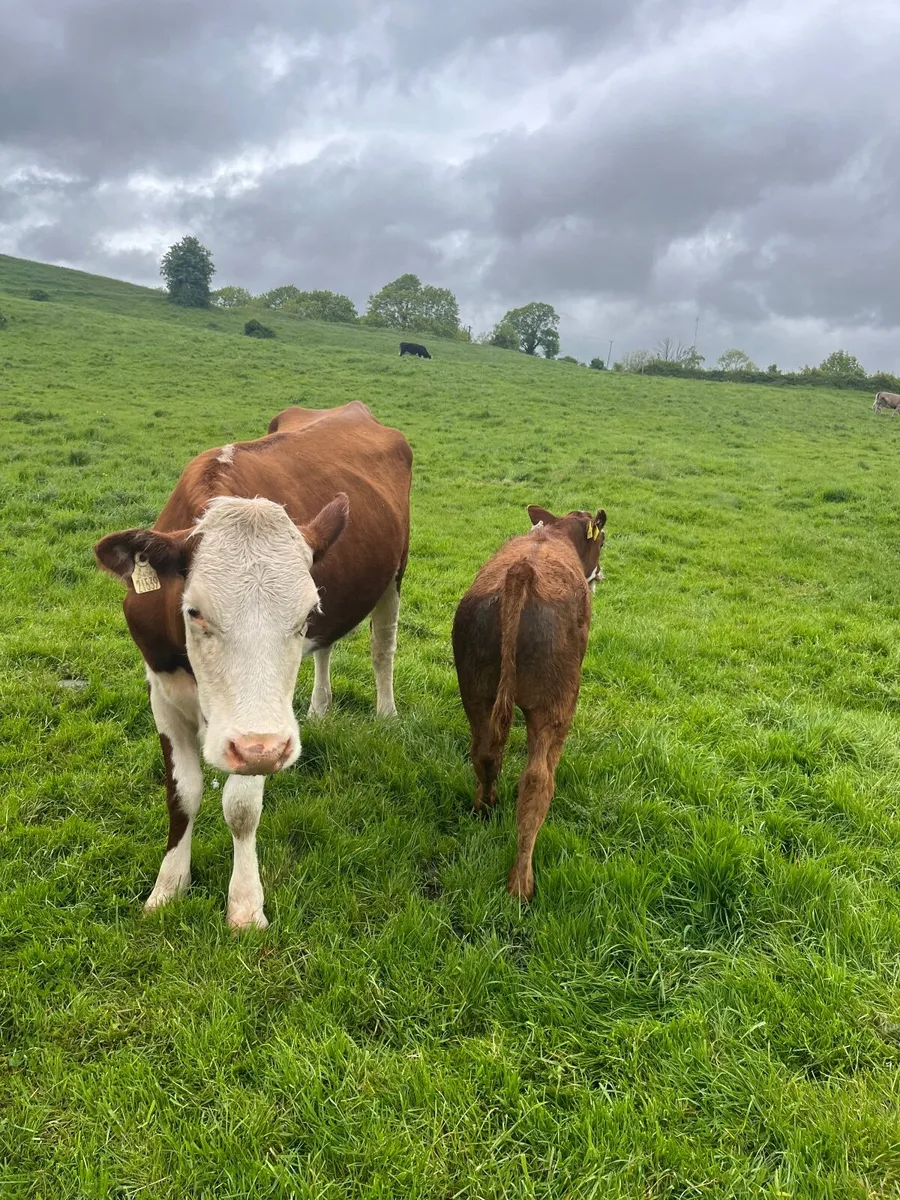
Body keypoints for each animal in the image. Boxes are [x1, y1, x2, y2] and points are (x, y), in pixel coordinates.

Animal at [94, 401, 412, 930]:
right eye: (194, 611)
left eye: (304, 614)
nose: (268, 748)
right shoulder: (162, 691)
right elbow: (181, 795)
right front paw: (168, 887)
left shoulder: (258, 732)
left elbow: (241, 807)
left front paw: (245, 905)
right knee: (327, 649)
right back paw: (319, 708)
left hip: (394, 573)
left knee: (381, 645)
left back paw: (386, 713)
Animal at [451, 505, 606, 900]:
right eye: (603, 541)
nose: (600, 574)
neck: (555, 534)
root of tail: (522, 573)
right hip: (556, 704)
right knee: (538, 780)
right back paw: (521, 882)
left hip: (476, 690)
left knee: (485, 754)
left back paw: (484, 807)